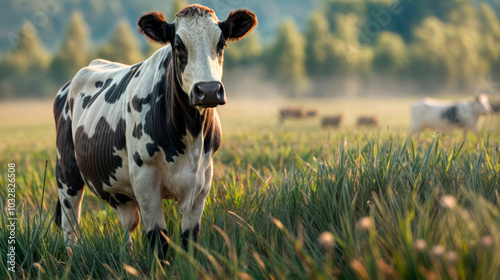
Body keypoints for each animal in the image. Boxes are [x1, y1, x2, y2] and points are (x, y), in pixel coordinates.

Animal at [53, 4, 258, 258]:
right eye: (178, 45)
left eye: (221, 44)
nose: (209, 90)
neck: (191, 134)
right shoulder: (145, 180)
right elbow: (159, 240)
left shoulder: (202, 181)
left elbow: (190, 240)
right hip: (66, 173)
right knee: (70, 226)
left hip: (120, 191)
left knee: (128, 224)